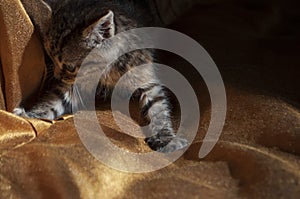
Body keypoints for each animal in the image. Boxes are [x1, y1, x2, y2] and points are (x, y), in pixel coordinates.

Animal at [14, 0, 188, 152]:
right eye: (50, 58)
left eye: (70, 67)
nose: (58, 76)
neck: (106, 70)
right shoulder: (74, 85)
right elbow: (53, 101)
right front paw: (31, 116)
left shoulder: (144, 75)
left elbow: (158, 107)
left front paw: (165, 138)